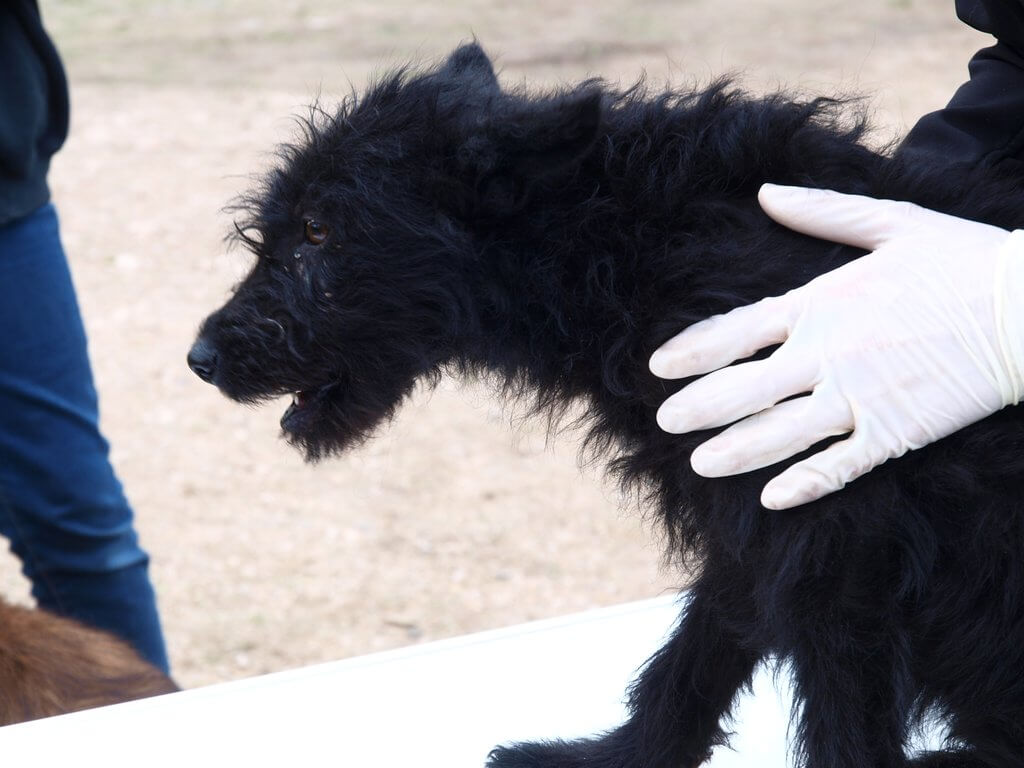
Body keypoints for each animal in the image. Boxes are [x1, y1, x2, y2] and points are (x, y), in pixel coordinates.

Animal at [188, 43, 1024, 767]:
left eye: (318, 230)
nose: (200, 358)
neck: (624, 244)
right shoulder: (746, 504)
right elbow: (692, 657)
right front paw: (621, 758)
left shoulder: (837, 544)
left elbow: (838, 724)